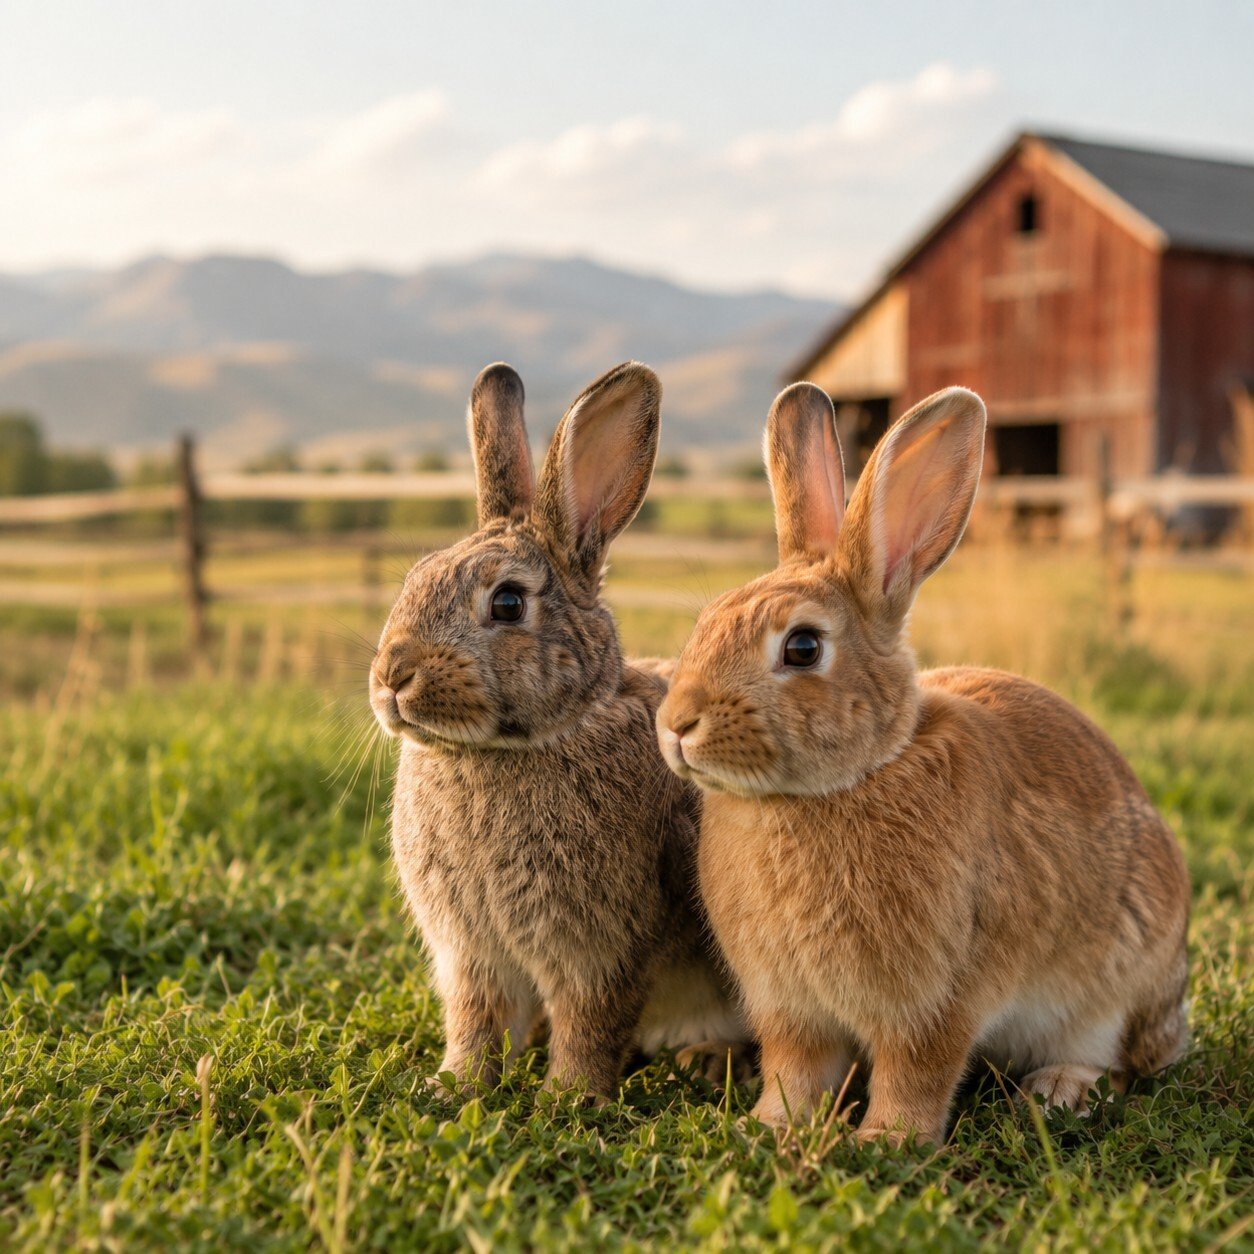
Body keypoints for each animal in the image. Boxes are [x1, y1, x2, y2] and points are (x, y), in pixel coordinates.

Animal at [370, 360, 748, 1100]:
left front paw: (568, 1098)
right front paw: (455, 1085)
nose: (392, 676)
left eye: (508, 603)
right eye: (415, 578)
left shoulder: (601, 946)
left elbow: (590, 1018)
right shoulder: (472, 953)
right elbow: (476, 1018)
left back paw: (704, 1059)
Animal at [655, 382, 1190, 1144]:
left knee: (1112, 1058)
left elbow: (917, 1070)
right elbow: (795, 1069)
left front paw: (888, 1141)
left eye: (802, 648)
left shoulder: (939, 998)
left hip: (1115, 984)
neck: (847, 781)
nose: (676, 724)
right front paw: (771, 1127)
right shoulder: (789, 1007)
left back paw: (1057, 1089)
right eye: (706, 623)